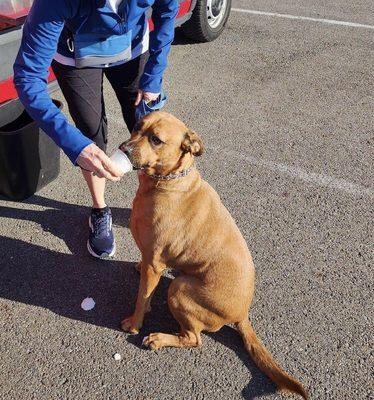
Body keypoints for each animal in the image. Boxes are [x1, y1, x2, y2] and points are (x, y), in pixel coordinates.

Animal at [121, 111, 308, 398]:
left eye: (156, 139)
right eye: (136, 127)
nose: (123, 149)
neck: (169, 182)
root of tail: (242, 314)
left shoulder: (155, 264)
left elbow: (142, 299)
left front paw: (134, 322)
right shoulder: (151, 259)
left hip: (179, 288)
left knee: (194, 339)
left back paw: (159, 338)